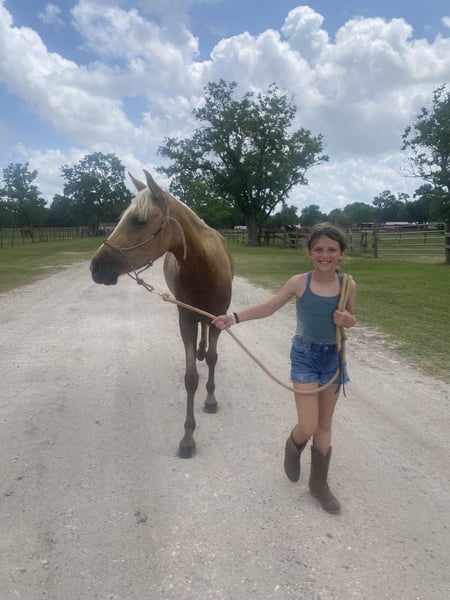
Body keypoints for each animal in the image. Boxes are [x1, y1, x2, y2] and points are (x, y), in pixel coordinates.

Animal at [90, 170, 233, 458]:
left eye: (139, 220)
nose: (95, 267)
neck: (206, 270)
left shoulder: (218, 320)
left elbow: (213, 359)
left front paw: (211, 400)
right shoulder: (186, 321)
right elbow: (191, 378)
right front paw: (188, 437)